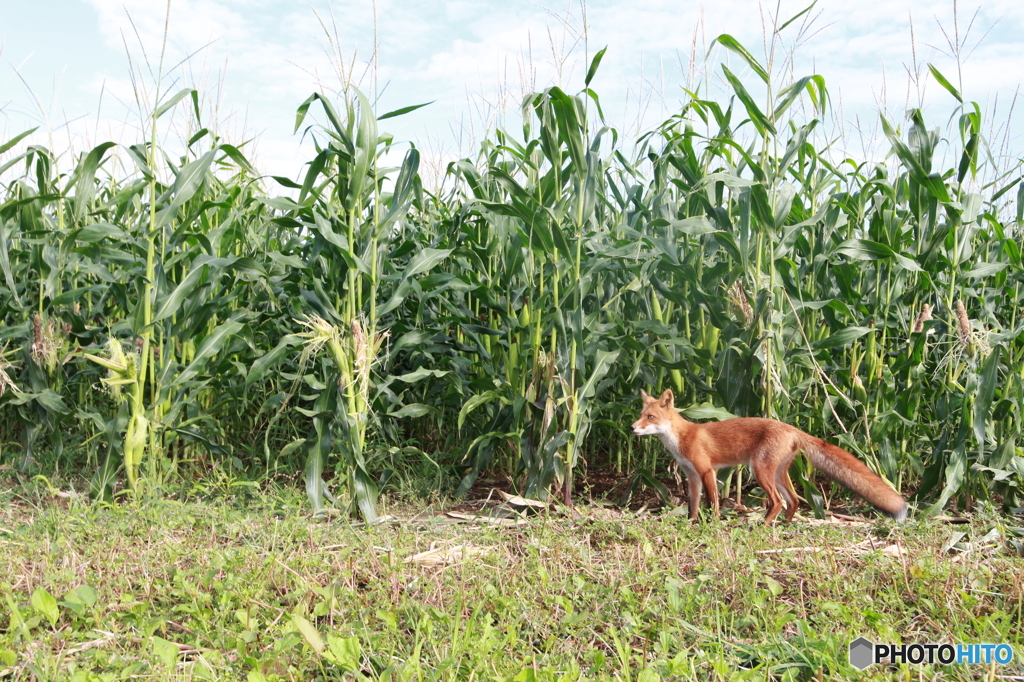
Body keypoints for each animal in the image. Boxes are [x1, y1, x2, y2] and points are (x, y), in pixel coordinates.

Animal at [626, 387, 909, 520]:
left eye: (650, 417)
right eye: (640, 415)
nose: (631, 428)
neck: (681, 438)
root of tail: (791, 427)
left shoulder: (706, 471)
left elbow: (713, 502)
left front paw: (713, 522)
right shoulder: (691, 476)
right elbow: (693, 504)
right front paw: (692, 522)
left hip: (760, 471)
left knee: (778, 501)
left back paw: (763, 526)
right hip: (778, 473)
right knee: (793, 500)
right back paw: (784, 526)